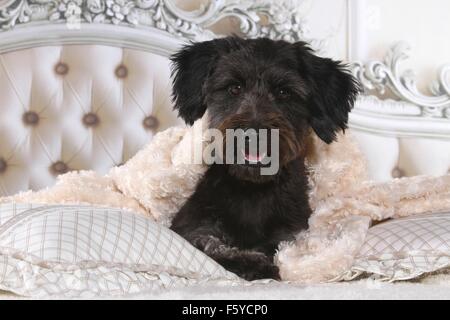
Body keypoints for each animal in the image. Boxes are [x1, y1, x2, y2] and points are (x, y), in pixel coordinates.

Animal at [169, 36, 358, 280]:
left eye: (284, 92)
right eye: (234, 88)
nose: (254, 133)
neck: (252, 190)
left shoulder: (291, 233)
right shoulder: (192, 222)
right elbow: (207, 242)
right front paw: (246, 260)